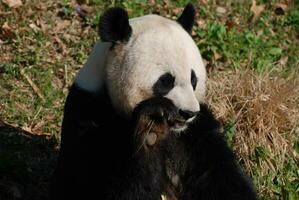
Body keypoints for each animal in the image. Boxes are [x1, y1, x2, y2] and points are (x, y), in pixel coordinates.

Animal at [50, 3, 258, 200]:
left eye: (193, 79)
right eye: (166, 81)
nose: (188, 113)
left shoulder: (196, 133)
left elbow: (218, 176)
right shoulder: (87, 111)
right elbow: (86, 185)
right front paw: (151, 130)